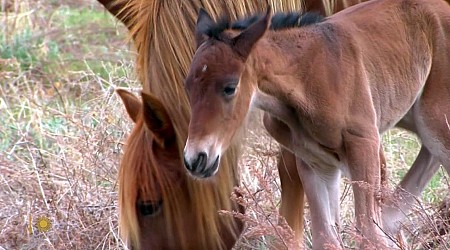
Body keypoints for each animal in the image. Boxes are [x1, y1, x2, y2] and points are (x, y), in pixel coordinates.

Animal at [183, 0, 450, 249]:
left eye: (230, 87)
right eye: (188, 87)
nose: (195, 159)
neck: (304, 79)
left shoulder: (363, 143)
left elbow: (369, 233)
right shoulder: (316, 164)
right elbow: (327, 239)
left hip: (434, 115)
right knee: (429, 155)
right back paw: (392, 219)